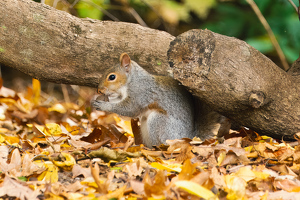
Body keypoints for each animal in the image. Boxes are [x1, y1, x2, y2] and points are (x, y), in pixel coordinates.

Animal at [92, 53, 227, 147]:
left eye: (112, 77)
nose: (99, 90)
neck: (132, 80)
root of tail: (188, 138)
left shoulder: (140, 93)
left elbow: (129, 109)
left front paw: (103, 105)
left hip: (159, 122)